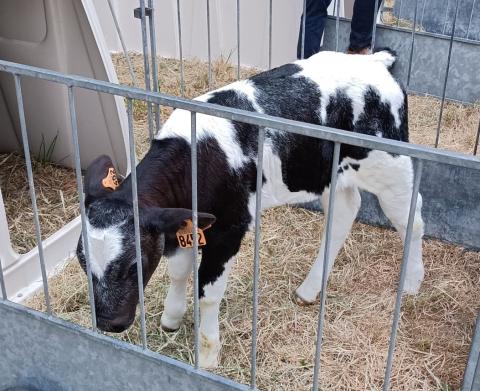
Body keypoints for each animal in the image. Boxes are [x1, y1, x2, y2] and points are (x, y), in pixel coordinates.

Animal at [77, 49, 426, 368]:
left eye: (135, 263)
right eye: (82, 261)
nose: (109, 323)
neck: (195, 157)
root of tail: (374, 60)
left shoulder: (229, 227)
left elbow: (207, 291)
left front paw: (208, 355)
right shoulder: (178, 224)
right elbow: (178, 271)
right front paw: (171, 318)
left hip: (390, 166)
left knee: (413, 218)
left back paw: (412, 283)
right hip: (331, 173)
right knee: (344, 212)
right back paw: (309, 289)